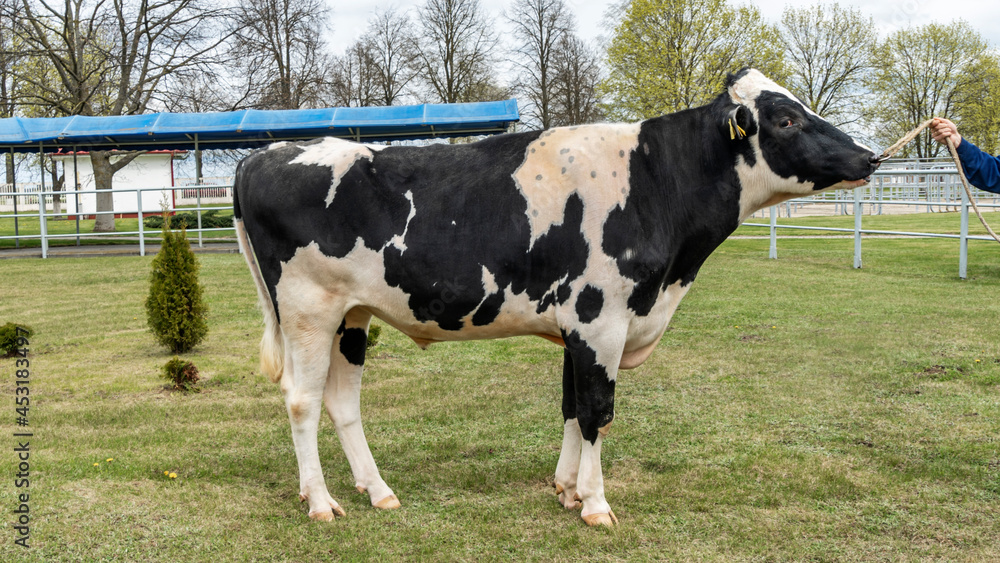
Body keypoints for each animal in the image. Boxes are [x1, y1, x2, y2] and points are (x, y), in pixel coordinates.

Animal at [232, 69, 876, 524]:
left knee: (342, 403)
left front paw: (567, 490)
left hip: (354, 315)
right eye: (786, 119)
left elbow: (569, 407)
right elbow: (597, 412)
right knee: (301, 401)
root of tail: (266, 153)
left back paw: (379, 492)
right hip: (308, 310)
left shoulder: (577, 326)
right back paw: (321, 503)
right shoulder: (600, 319)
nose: (869, 156)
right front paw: (595, 505)